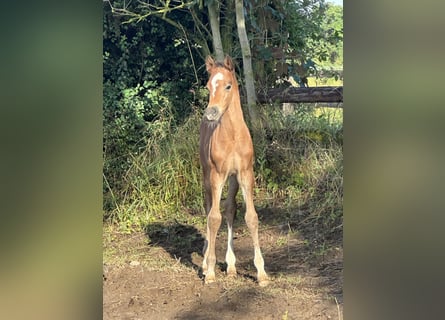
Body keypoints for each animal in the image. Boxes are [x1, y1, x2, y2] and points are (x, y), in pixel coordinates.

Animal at [200, 55, 268, 288]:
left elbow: (251, 217)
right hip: (207, 176)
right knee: (209, 209)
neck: (232, 136)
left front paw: (261, 273)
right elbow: (213, 218)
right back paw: (205, 263)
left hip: (232, 180)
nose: (211, 113)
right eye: (207, 85)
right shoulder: (216, 176)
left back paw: (230, 266)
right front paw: (210, 271)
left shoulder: (245, 174)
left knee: (230, 208)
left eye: (228, 86)